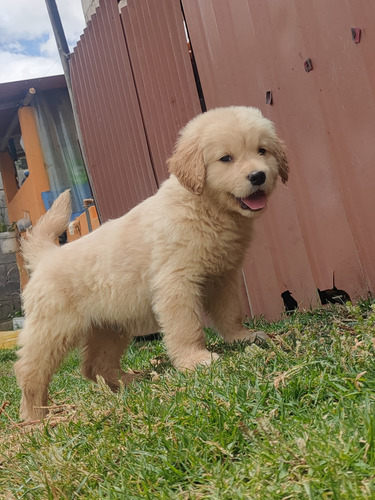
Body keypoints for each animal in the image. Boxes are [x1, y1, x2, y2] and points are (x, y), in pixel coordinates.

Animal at [14, 106, 288, 422]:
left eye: (262, 150)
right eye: (226, 158)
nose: (258, 175)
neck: (205, 208)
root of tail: (47, 255)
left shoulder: (223, 278)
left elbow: (229, 312)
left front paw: (241, 337)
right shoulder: (176, 282)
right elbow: (186, 326)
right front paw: (195, 360)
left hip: (109, 326)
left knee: (94, 366)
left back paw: (128, 382)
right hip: (52, 329)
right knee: (29, 370)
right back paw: (35, 415)